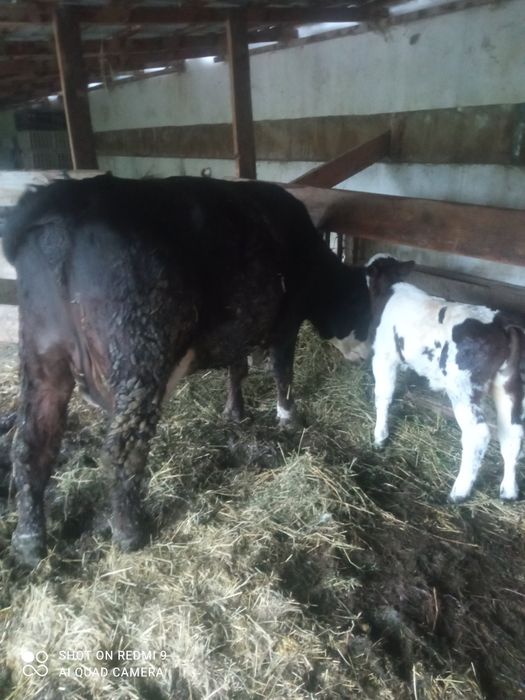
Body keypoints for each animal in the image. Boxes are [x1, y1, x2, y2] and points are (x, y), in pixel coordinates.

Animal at [4, 174, 371, 567]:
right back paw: (129, 532)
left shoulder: (239, 327)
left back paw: (28, 541)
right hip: (139, 357)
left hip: (43, 361)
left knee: (30, 445)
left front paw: (235, 411)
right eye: (364, 312)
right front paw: (288, 417)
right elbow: (282, 371)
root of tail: (66, 196)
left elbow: (237, 369)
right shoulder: (287, 321)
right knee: (121, 449)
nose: (365, 357)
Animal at [366, 254, 524, 503]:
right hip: (509, 384)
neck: (391, 287)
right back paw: (509, 491)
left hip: (462, 387)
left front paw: (380, 437)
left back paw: (459, 492)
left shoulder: (383, 357)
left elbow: (383, 396)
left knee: (478, 434)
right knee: (512, 433)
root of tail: (501, 323)